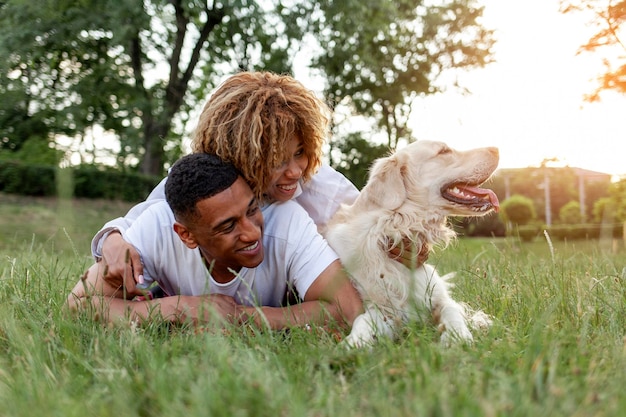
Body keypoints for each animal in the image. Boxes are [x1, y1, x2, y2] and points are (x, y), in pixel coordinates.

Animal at [324, 141, 500, 348]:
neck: (392, 228)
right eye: (443, 151)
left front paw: (456, 336)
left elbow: (452, 313)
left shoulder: (439, 297)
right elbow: (363, 321)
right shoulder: (385, 311)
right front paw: (352, 344)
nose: (496, 149)